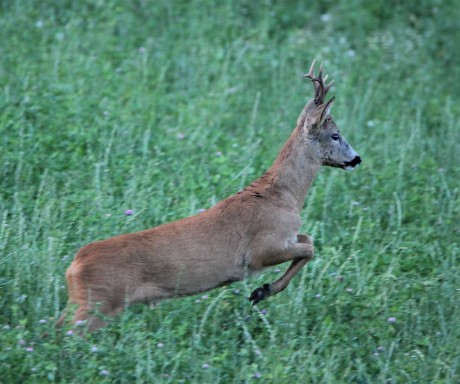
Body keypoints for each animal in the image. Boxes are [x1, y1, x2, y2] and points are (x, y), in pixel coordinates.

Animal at [57, 60, 362, 330]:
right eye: (335, 135)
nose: (357, 159)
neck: (283, 196)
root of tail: (75, 265)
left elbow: (308, 240)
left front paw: (262, 291)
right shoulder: (261, 250)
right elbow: (310, 248)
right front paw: (261, 290)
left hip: (84, 303)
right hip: (98, 305)